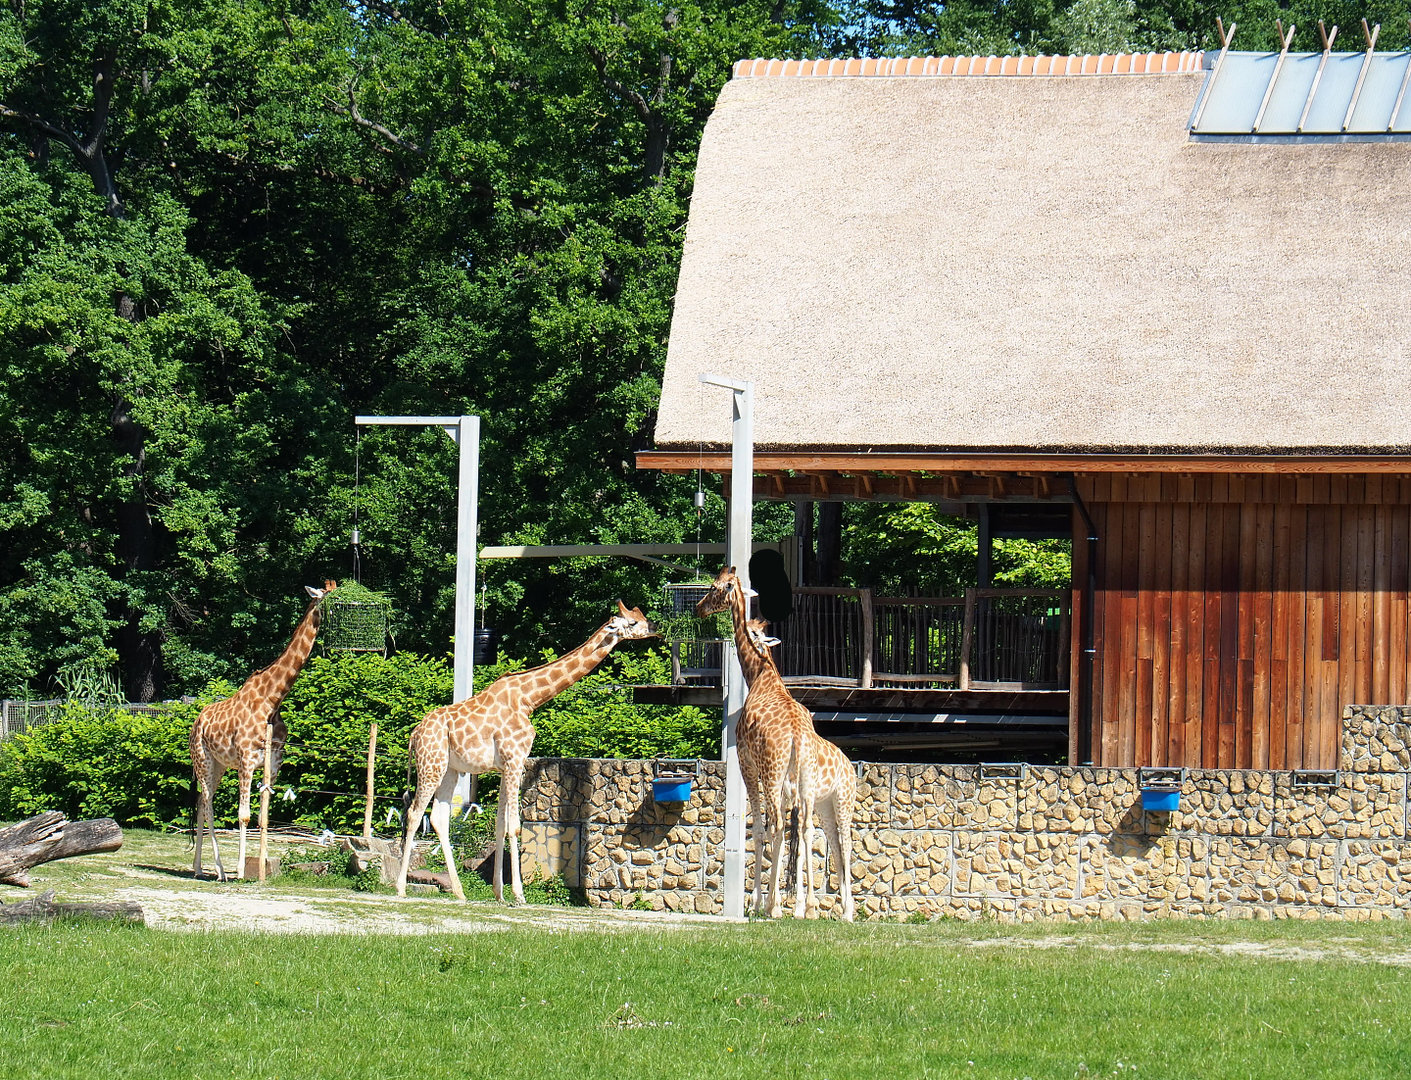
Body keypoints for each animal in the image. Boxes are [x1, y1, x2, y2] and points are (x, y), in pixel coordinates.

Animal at [190, 580, 337, 881]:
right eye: (332, 600)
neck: (273, 700)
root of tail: (197, 721)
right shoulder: (246, 759)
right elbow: (243, 814)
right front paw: (239, 870)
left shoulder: (274, 762)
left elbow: (262, 816)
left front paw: (262, 867)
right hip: (202, 760)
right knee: (208, 804)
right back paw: (220, 870)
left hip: (219, 765)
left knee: (200, 803)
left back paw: (198, 867)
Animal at [395, 601, 658, 904]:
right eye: (632, 622)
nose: (655, 627)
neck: (529, 699)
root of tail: (414, 735)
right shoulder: (515, 759)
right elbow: (514, 826)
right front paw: (518, 895)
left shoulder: (504, 766)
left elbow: (500, 825)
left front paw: (499, 893)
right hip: (431, 764)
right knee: (414, 814)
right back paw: (400, 888)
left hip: (450, 769)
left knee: (439, 817)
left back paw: (459, 892)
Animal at [694, 566, 815, 919]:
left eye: (715, 587)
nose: (699, 608)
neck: (759, 674)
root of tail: (799, 736)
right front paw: (789, 901)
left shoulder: (746, 762)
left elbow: (758, 829)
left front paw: (758, 901)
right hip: (803, 779)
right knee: (805, 826)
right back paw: (807, 906)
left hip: (772, 774)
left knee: (777, 825)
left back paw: (773, 907)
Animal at [745, 619, 856, 922]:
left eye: (758, 633)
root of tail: (851, 768)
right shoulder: (792, 796)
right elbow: (791, 836)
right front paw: (792, 903)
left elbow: (783, 834)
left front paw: (782, 904)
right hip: (825, 806)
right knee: (834, 844)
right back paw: (840, 907)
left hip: (842, 800)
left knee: (846, 842)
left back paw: (846, 912)